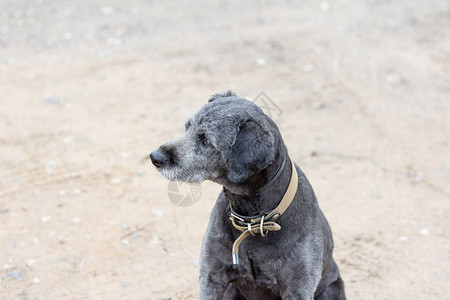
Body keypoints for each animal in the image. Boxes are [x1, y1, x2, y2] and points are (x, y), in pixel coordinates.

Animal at [149, 92, 346, 300]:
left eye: (205, 139)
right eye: (187, 127)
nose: (155, 157)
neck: (254, 220)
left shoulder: (298, 288)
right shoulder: (211, 277)